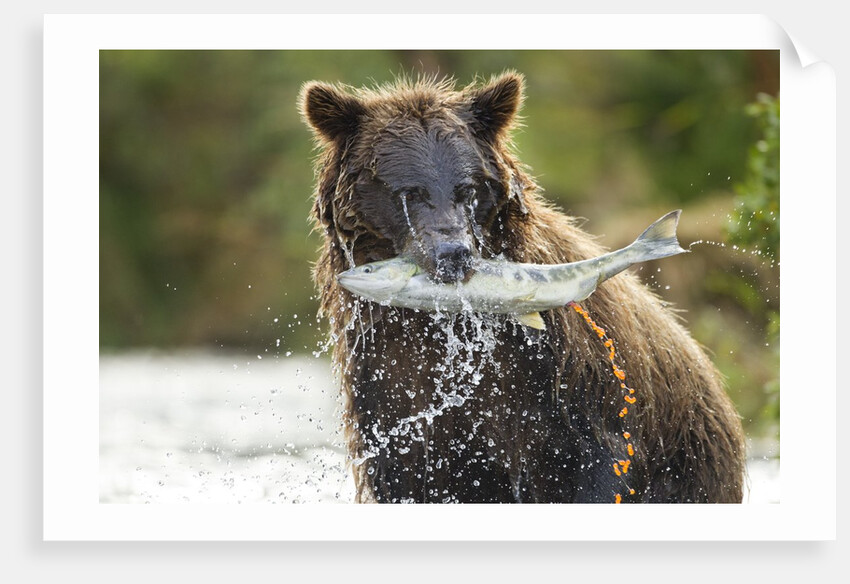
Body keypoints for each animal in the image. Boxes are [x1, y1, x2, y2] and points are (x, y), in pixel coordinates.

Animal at [299, 72, 746, 503]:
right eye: (409, 193)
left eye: (468, 187)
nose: (453, 254)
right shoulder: (389, 381)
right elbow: (409, 472)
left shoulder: (565, 374)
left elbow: (598, 460)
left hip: (690, 459)